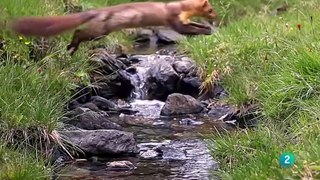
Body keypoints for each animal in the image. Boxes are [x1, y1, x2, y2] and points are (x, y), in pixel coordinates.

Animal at [9, 0, 218, 55]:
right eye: (210, 9)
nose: (215, 16)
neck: (181, 8)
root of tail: (97, 11)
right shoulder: (174, 18)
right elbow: (184, 29)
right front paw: (206, 30)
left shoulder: (183, 19)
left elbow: (192, 25)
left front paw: (208, 29)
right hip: (101, 29)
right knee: (80, 31)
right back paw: (72, 46)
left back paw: (71, 48)